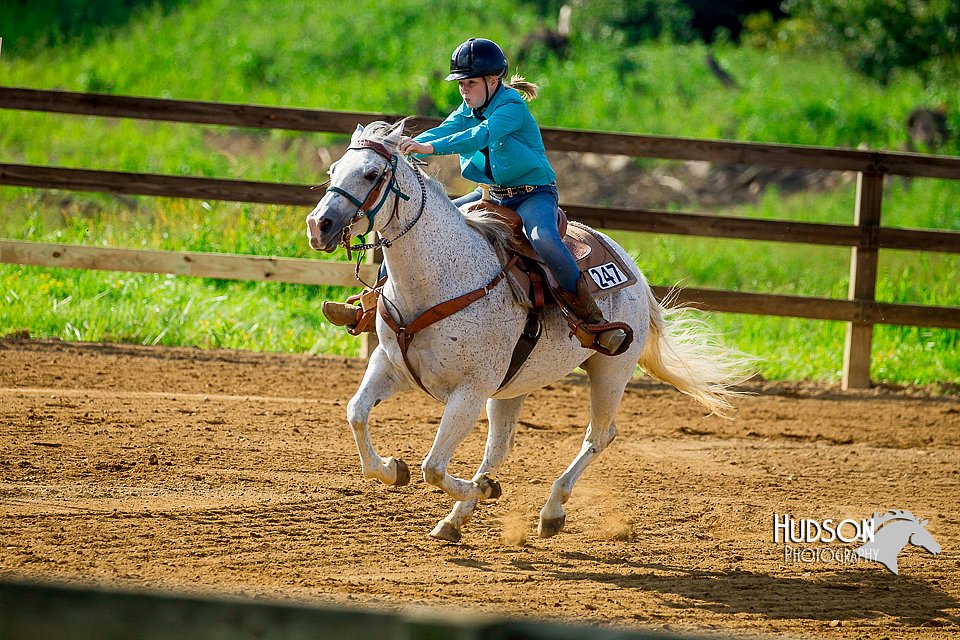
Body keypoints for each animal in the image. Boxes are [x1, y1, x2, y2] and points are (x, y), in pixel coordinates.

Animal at [304, 119, 748, 540]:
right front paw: (394, 469)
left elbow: (433, 466)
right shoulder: (391, 365)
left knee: (599, 436)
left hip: (610, 371)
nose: (318, 225)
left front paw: (481, 489)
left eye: (370, 173)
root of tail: (633, 270)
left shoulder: (470, 390)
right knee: (500, 448)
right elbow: (357, 414)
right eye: (333, 169)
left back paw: (550, 510)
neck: (440, 279)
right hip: (513, 386)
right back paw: (454, 520)